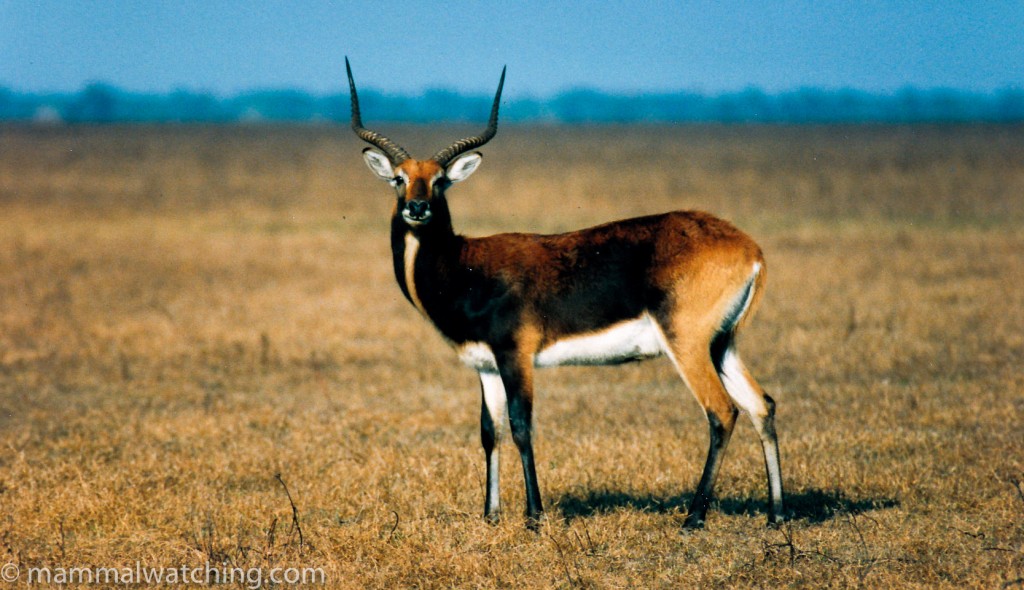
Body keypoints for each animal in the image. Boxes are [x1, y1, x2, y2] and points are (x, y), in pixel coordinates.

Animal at [348, 58, 786, 528]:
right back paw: (776, 515)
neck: (466, 266)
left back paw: (693, 518)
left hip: (687, 344)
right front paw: (490, 516)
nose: (418, 208)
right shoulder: (485, 366)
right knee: (762, 405)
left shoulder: (516, 356)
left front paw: (534, 517)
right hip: (723, 344)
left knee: (722, 411)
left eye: (441, 181)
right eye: (399, 179)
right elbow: (490, 432)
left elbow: (521, 428)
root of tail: (750, 249)